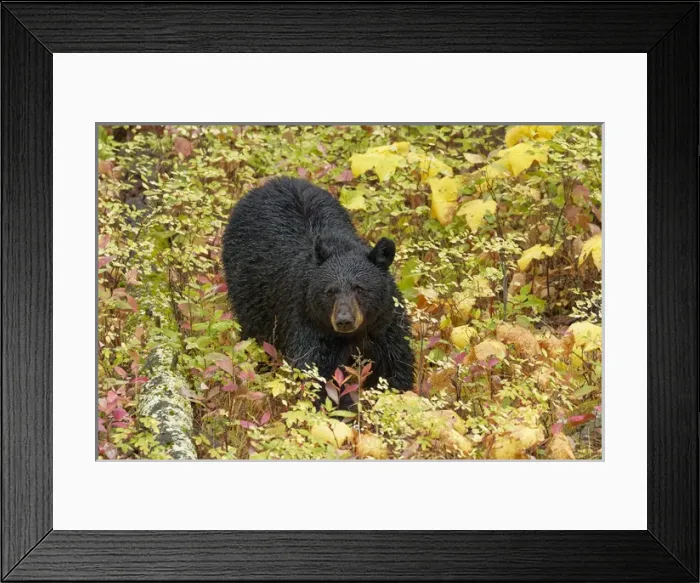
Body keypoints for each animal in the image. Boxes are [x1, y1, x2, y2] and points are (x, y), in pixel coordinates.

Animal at [222, 177, 414, 405]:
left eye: (360, 288)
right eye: (330, 291)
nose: (344, 320)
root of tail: (272, 183)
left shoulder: (384, 322)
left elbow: (395, 363)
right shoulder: (309, 320)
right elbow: (318, 372)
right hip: (251, 292)